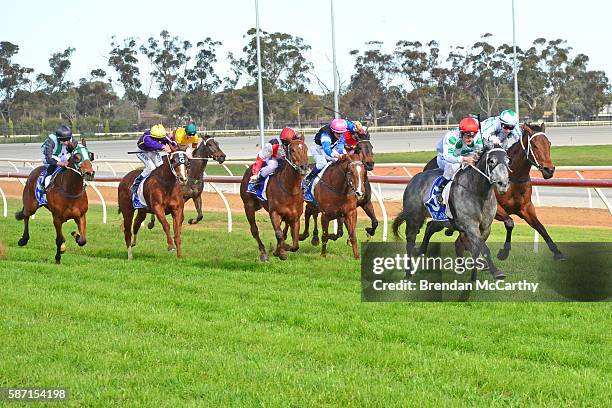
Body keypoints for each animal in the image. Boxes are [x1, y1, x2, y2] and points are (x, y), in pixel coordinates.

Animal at [392, 144, 512, 280]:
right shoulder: (470, 226)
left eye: (508, 161)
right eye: (491, 161)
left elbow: (477, 250)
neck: (479, 193)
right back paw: (408, 273)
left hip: (441, 219)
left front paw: (473, 277)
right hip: (414, 219)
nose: (503, 184)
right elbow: (484, 249)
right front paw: (496, 272)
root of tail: (415, 178)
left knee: (430, 227)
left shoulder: (485, 227)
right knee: (410, 242)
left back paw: (420, 250)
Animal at [426, 122, 564, 260]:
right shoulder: (495, 210)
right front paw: (504, 252)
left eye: (549, 144)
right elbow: (510, 223)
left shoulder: (526, 207)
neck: (512, 179)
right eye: (535, 145)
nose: (549, 170)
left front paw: (557, 252)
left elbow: (540, 227)